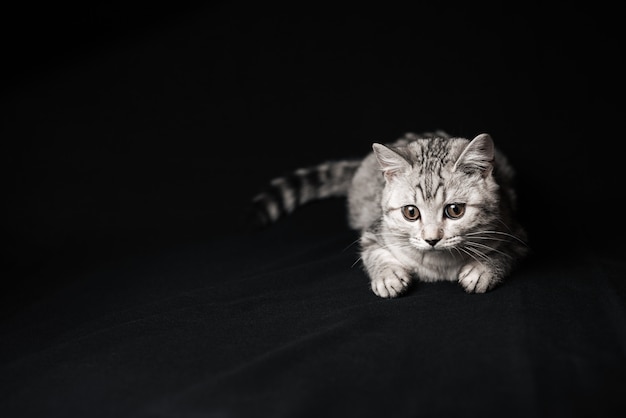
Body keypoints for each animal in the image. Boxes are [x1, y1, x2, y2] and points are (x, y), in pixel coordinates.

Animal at [249, 131, 528, 298]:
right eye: (411, 212)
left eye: (455, 210)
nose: (432, 239)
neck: (439, 264)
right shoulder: (373, 230)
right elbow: (372, 252)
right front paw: (388, 275)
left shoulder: (514, 230)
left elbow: (505, 253)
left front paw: (483, 269)